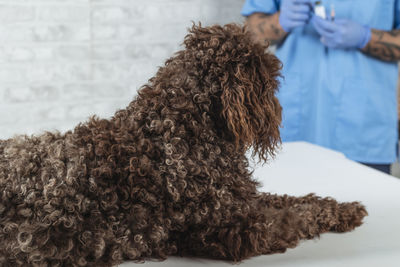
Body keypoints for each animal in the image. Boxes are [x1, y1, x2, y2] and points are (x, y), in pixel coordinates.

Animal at [0, 24, 368, 266]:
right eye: (270, 79)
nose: (279, 110)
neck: (182, 128)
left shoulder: (243, 204)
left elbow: (293, 199)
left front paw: (344, 207)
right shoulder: (238, 230)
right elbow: (296, 216)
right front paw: (343, 213)